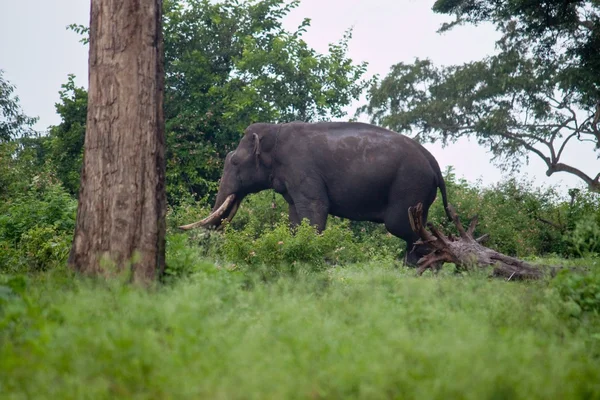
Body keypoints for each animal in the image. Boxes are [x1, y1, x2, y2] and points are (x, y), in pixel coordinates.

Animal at [180, 122, 452, 266]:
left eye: (234, 162)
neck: (276, 131)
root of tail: (435, 164)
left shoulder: (302, 169)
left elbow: (315, 211)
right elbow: (295, 218)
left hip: (409, 187)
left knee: (403, 228)